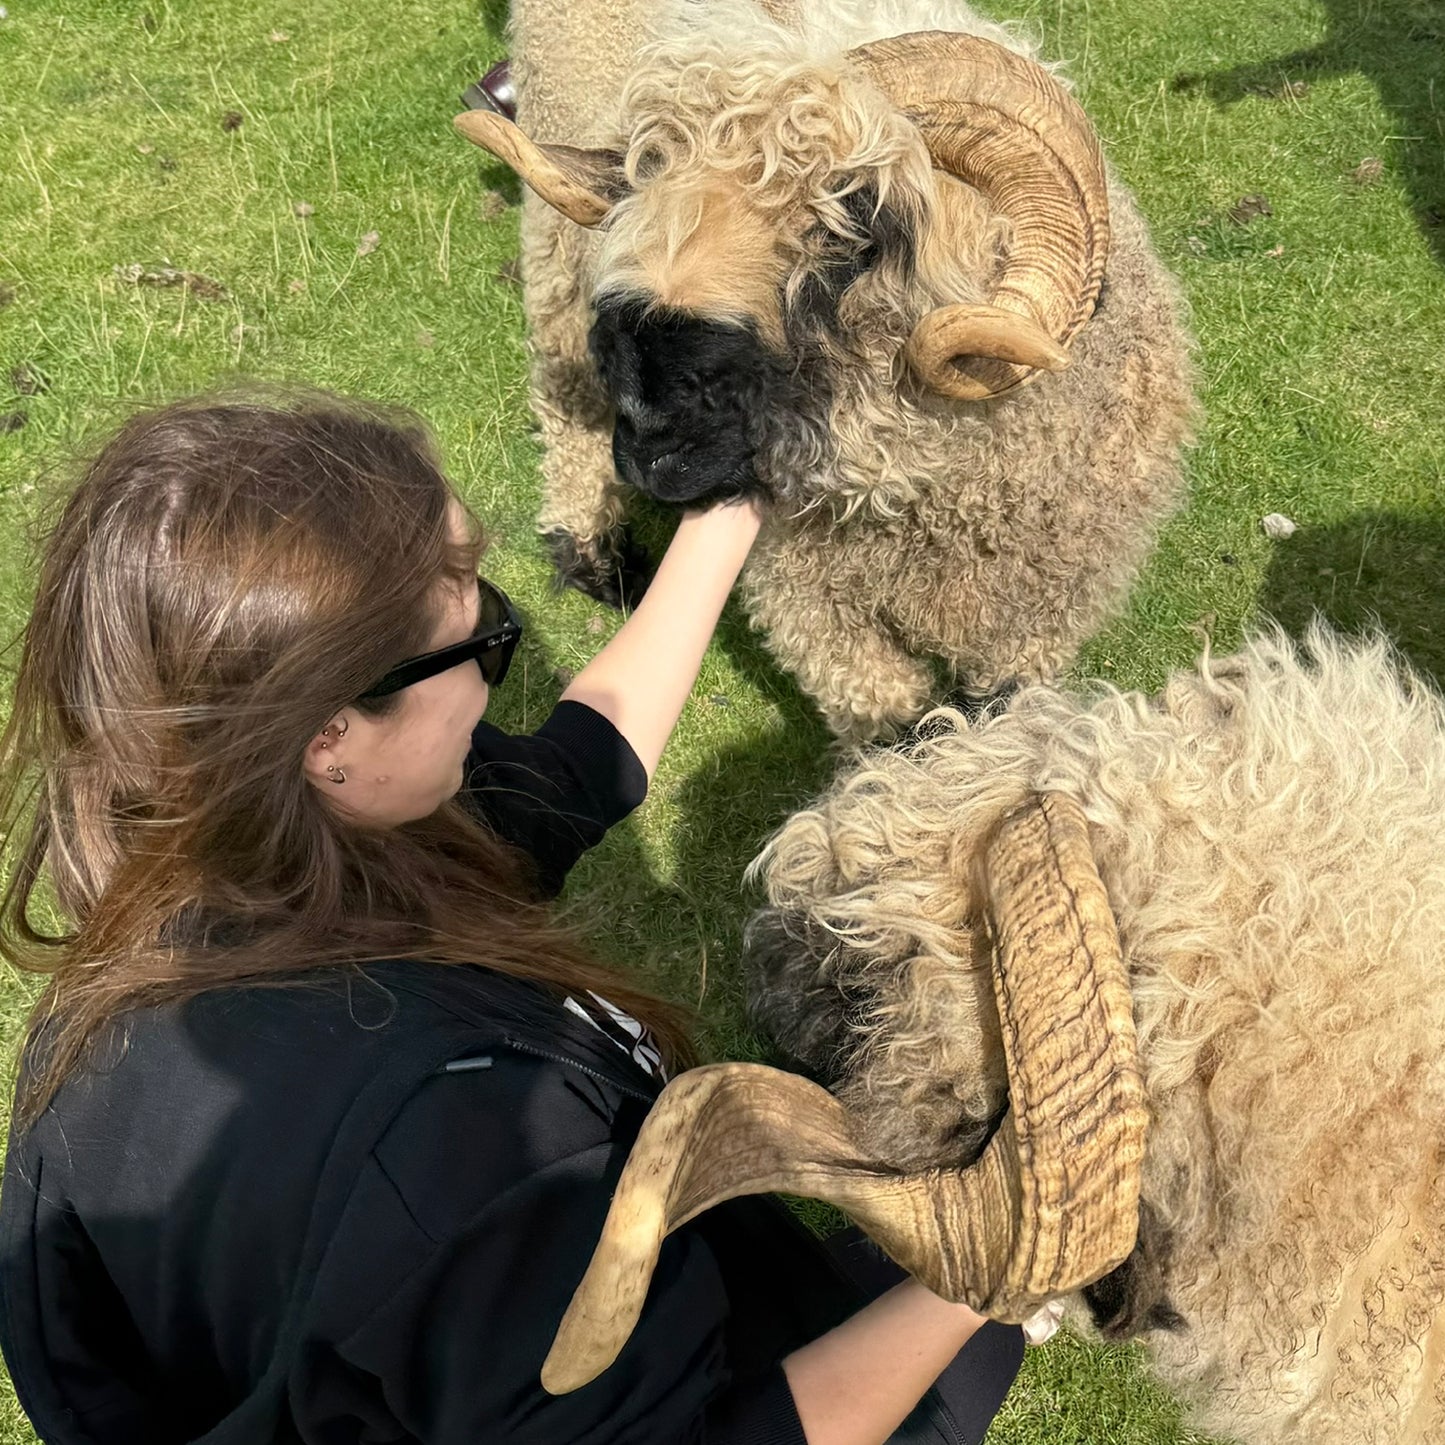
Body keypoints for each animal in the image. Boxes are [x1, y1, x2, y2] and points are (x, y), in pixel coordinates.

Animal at [457, 0, 1197, 741]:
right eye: (644, 186)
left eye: (851, 225)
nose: (648, 440)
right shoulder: (809, 609)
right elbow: (895, 722)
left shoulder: (1046, 611)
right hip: (555, 259)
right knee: (565, 403)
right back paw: (592, 557)